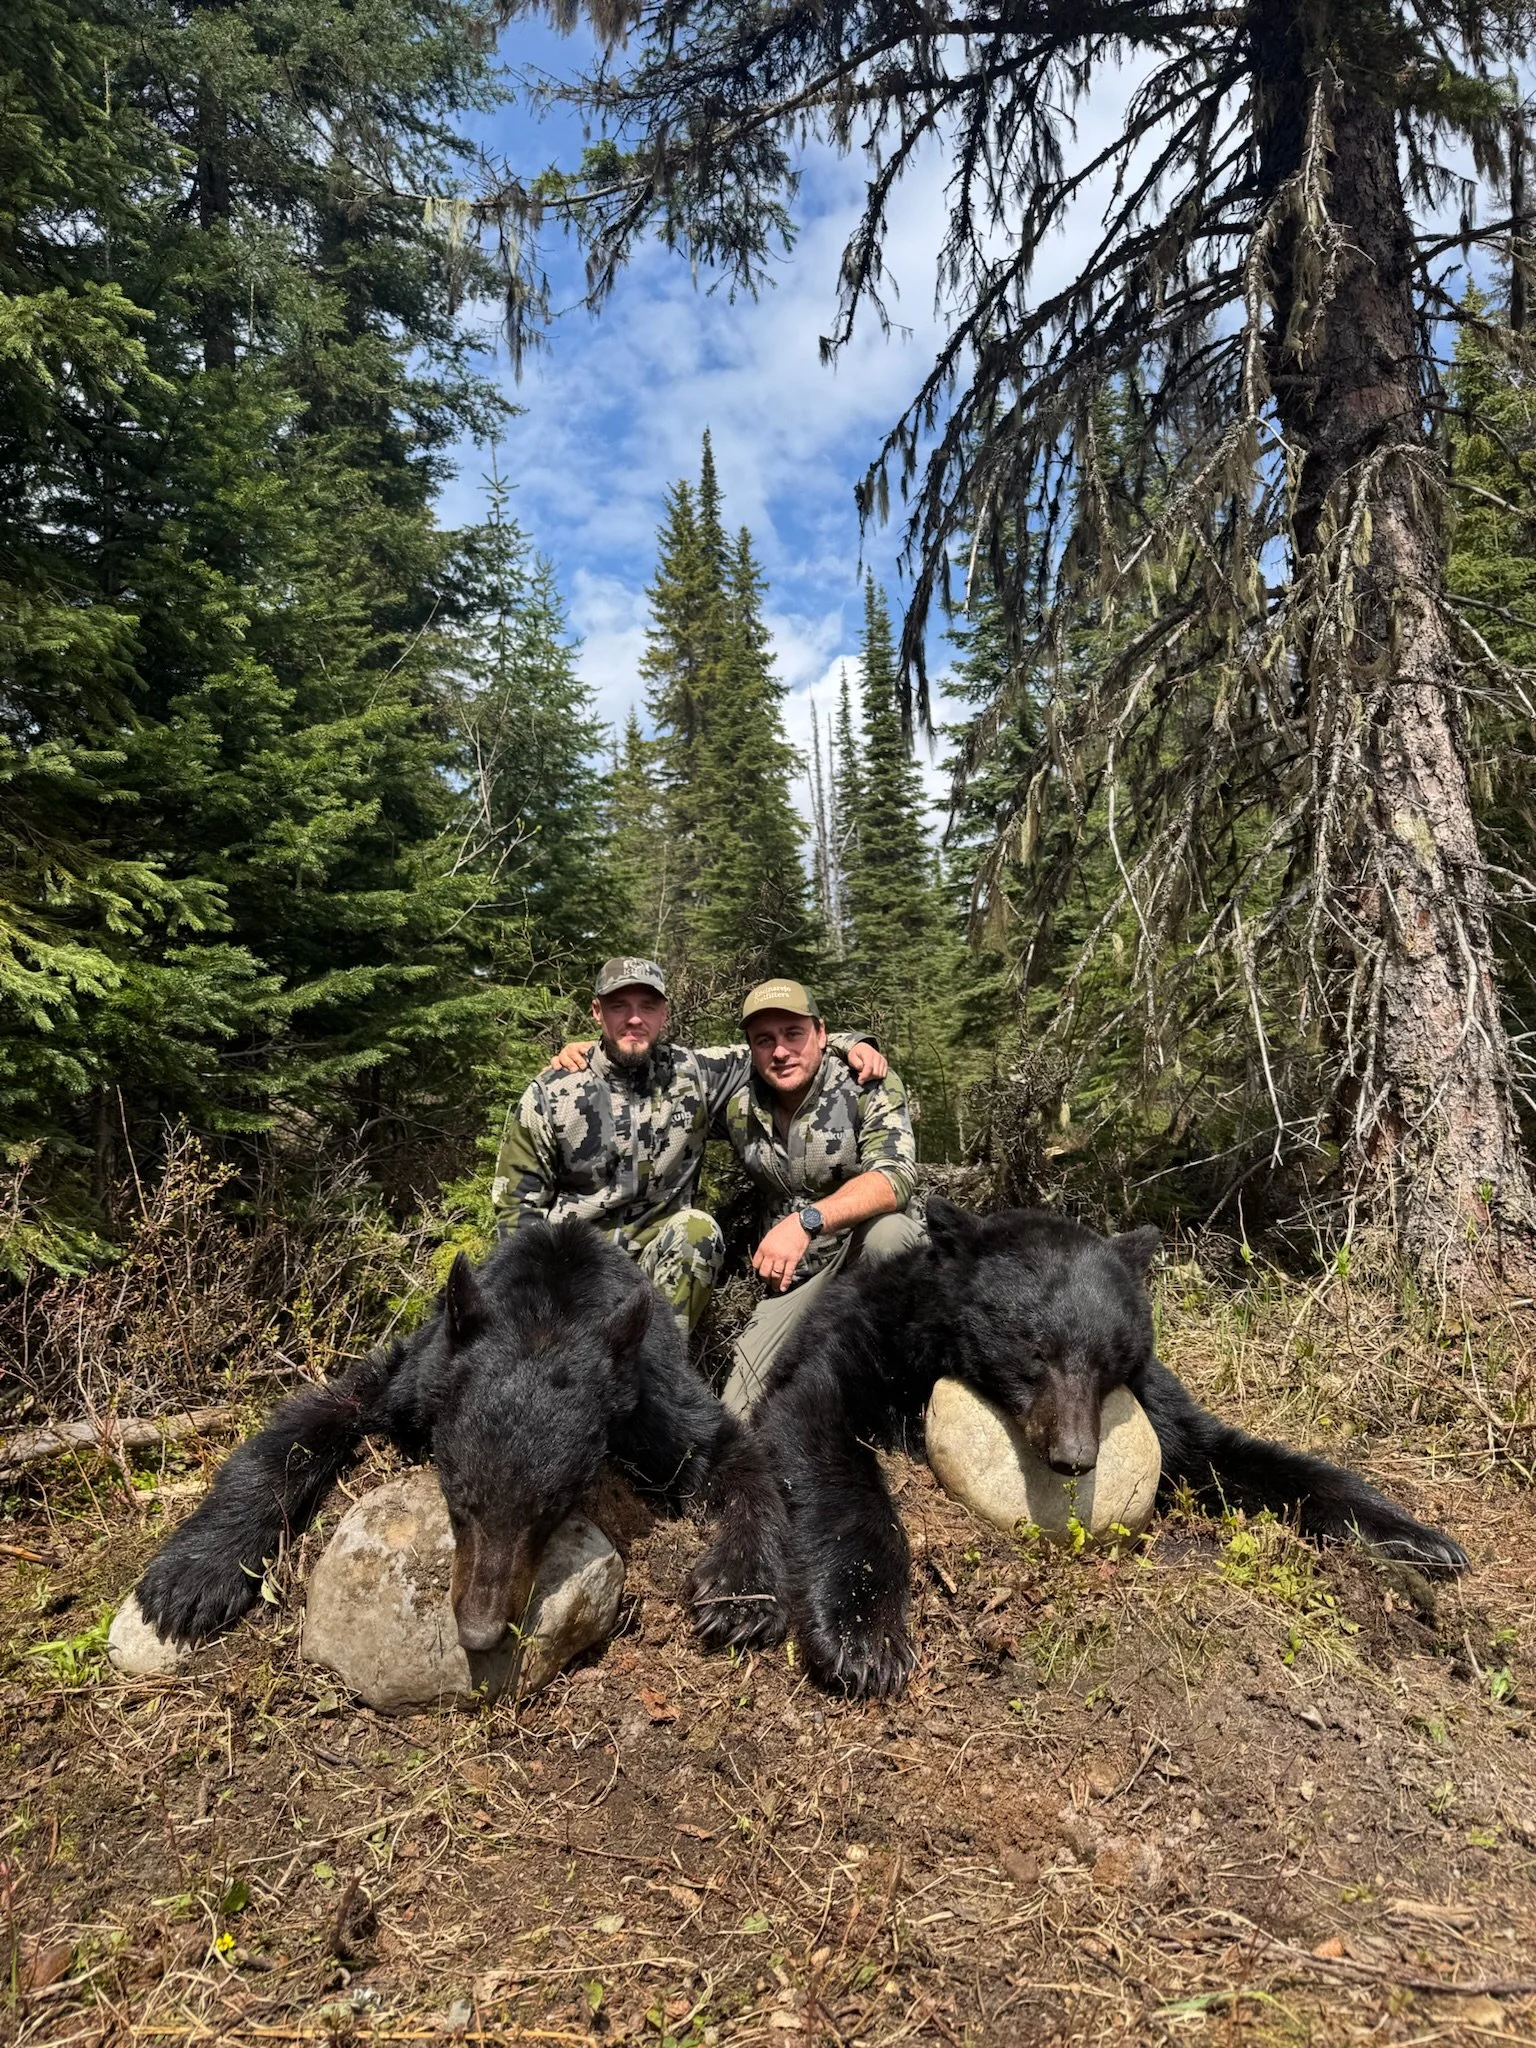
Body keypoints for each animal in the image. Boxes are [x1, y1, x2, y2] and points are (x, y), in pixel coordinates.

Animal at [135, 1218, 758, 1652]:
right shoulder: (420, 1376)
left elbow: (728, 1452)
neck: (551, 1305)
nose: (480, 1633)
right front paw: (191, 1575)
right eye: (459, 1498)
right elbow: (319, 1415)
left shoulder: (645, 1399)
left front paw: (739, 1595)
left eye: (553, 1508)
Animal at [688, 1201, 1468, 1699]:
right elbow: (816, 1431)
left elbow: (1223, 1454)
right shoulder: (865, 1348)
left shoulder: (1154, 1401)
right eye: (1034, 1351)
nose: (1073, 1456)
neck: (932, 1351)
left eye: (1106, 1356)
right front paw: (864, 1640)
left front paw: (1420, 1537)